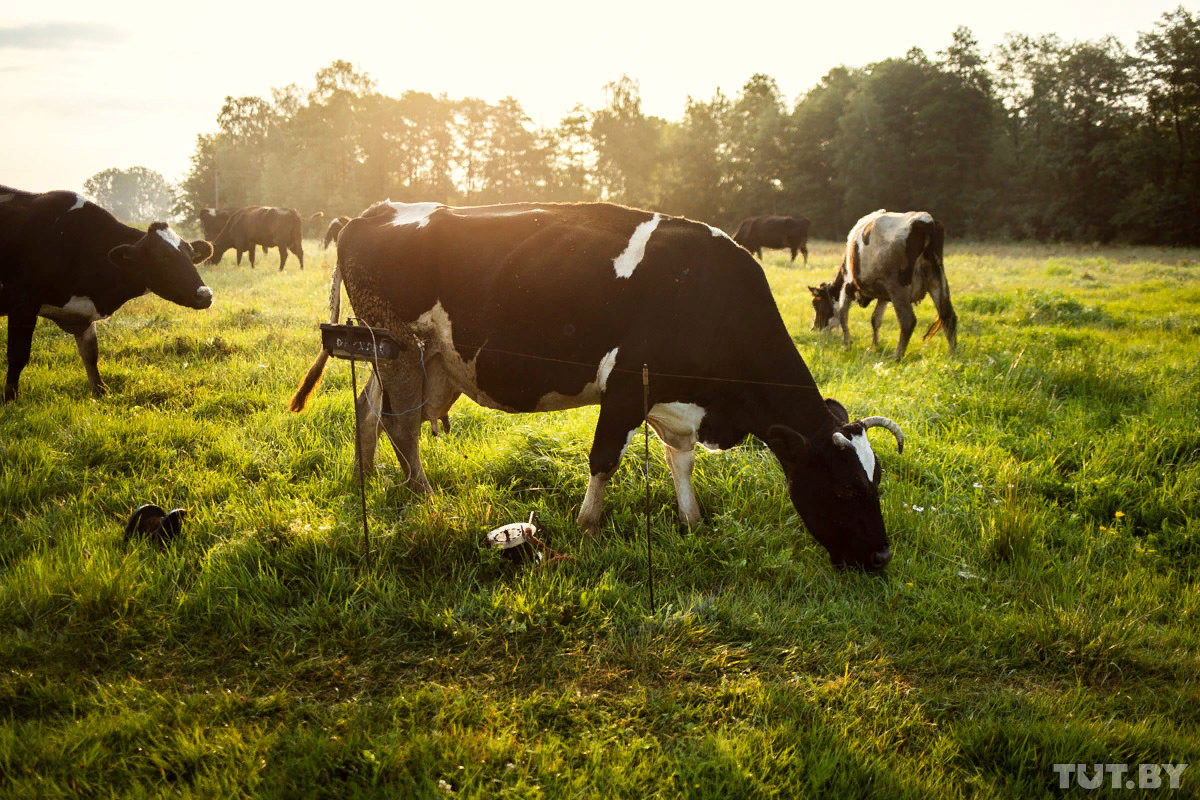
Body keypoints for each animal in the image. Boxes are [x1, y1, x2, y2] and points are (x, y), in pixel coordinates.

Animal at [0, 185, 213, 400]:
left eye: (191, 254)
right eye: (163, 257)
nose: (205, 294)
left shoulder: (82, 314)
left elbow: (90, 354)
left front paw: (100, 392)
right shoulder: (23, 303)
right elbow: (18, 355)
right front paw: (10, 397)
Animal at [811, 209, 960, 359]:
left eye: (817, 304)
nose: (814, 328)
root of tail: (926, 221)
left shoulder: (848, 286)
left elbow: (842, 314)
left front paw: (846, 344)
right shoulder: (883, 296)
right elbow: (875, 319)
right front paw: (874, 346)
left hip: (898, 287)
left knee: (908, 321)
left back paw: (897, 357)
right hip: (938, 280)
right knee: (948, 316)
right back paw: (952, 354)